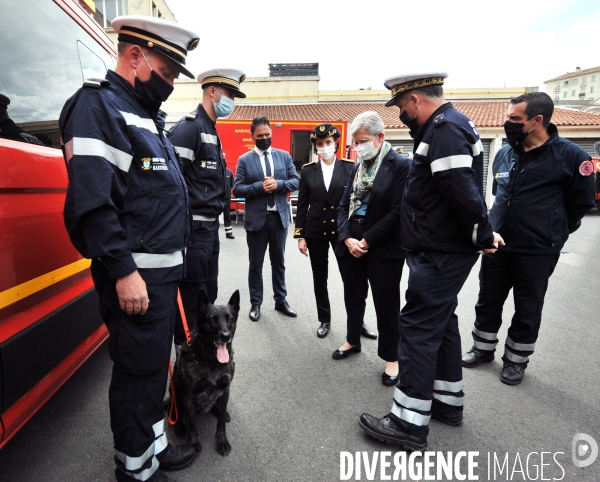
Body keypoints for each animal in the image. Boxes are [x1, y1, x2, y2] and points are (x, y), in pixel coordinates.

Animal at [171, 290, 239, 456]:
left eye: (230, 318)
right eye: (212, 319)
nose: (225, 336)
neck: (211, 360)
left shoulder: (225, 388)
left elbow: (220, 422)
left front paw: (222, 440)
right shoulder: (188, 395)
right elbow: (191, 423)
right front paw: (193, 442)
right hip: (175, 390)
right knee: (177, 412)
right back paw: (179, 426)